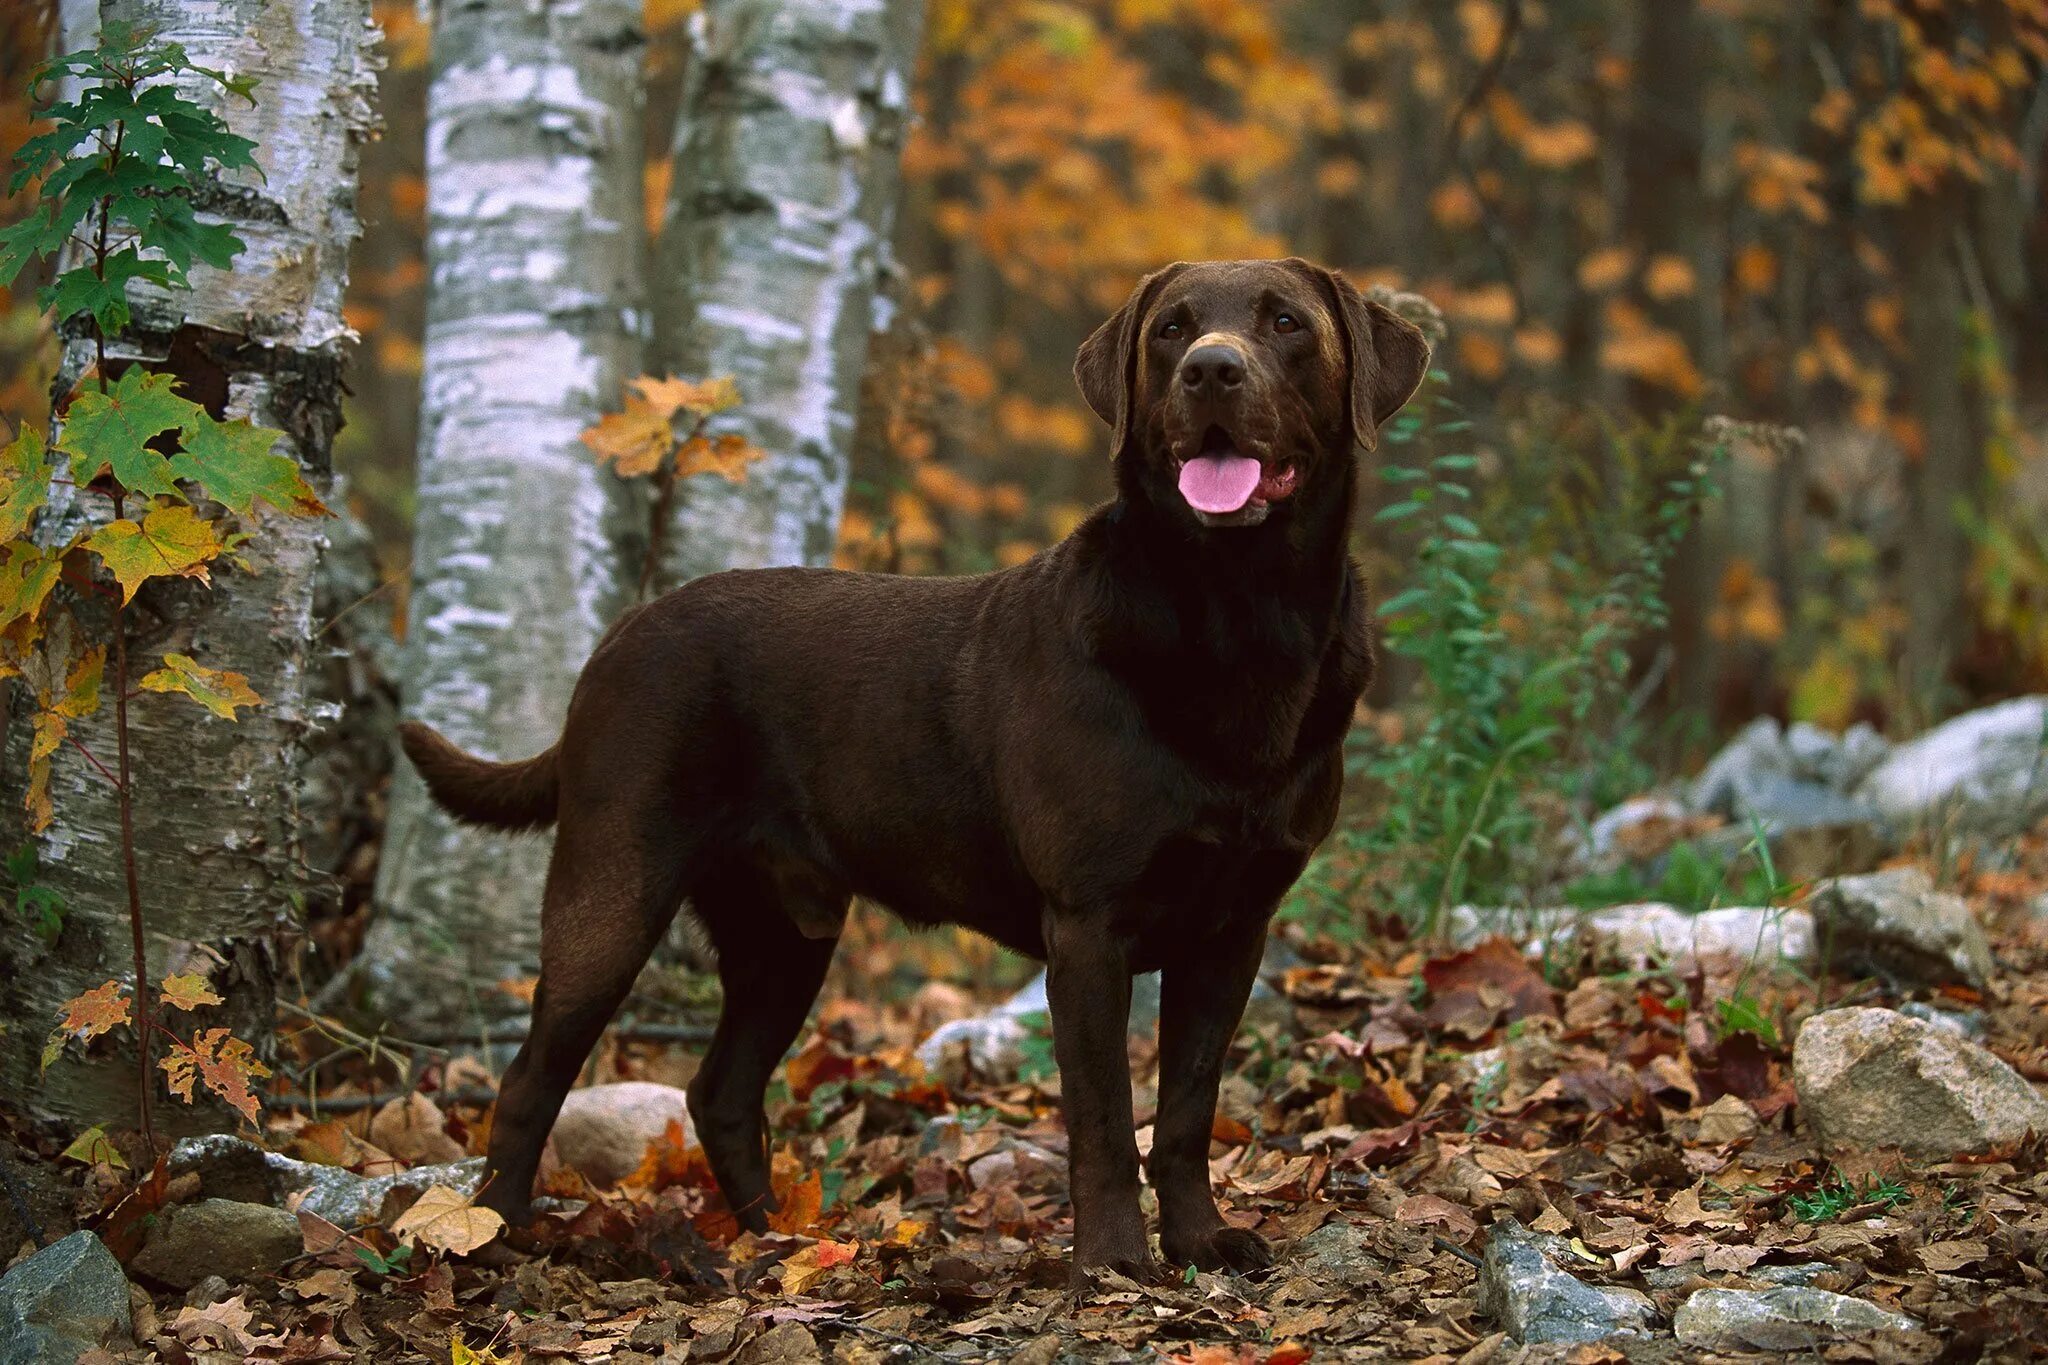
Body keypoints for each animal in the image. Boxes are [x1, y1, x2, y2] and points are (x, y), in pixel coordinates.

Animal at [395, 255, 1425, 1285]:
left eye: (1286, 323)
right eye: (1171, 329)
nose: (1212, 368)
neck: (1240, 615)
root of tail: (614, 638)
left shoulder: (1233, 928)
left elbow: (1185, 1109)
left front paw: (1203, 1241)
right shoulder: (1088, 927)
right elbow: (1101, 1119)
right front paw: (1114, 1261)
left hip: (784, 934)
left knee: (719, 1090)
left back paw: (781, 1239)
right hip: (614, 886)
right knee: (531, 1075)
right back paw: (493, 1233)